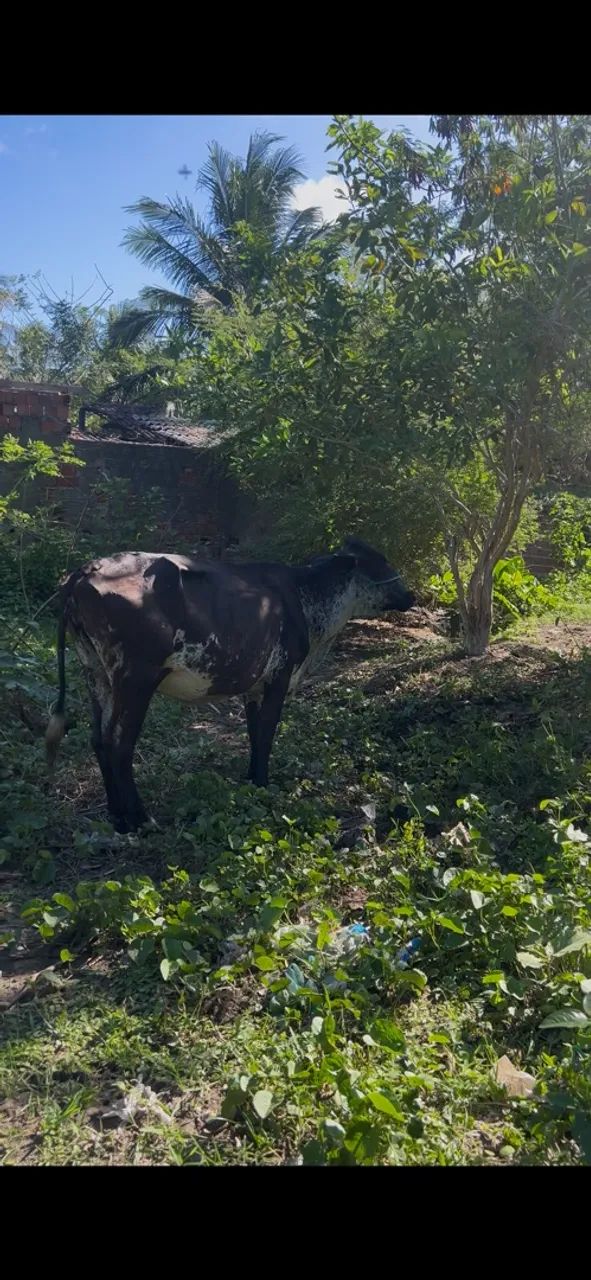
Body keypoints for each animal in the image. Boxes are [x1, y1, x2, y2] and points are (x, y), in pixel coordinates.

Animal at [45, 538, 415, 833]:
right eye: (380, 560)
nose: (411, 594)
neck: (306, 599)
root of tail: (85, 571)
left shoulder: (255, 684)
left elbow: (253, 732)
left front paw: (252, 779)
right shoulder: (280, 675)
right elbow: (266, 733)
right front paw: (264, 783)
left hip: (96, 673)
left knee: (98, 739)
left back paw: (116, 816)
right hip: (135, 678)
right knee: (119, 745)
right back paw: (139, 819)